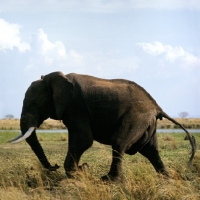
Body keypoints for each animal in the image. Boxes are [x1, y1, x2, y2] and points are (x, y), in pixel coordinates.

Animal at [7, 71, 195, 181]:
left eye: (34, 104)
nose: (54, 166)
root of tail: (157, 107)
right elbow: (81, 140)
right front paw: (81, 171)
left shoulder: (76, 106)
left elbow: (84, 140)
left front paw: (79, 173)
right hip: (146, 122)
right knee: (150, 150)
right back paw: (168, 178)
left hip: (136, 117)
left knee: (119, 142)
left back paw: (108, 180)